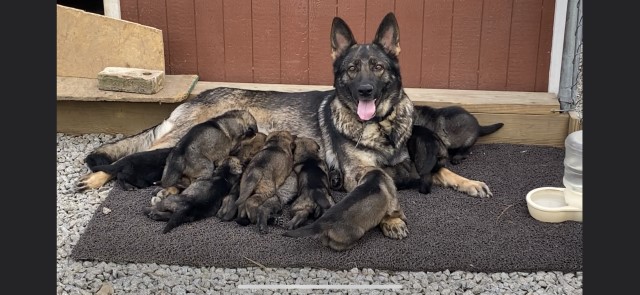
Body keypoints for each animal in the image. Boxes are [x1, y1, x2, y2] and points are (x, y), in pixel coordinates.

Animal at [76, 12, 496, 242]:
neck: (381, 128)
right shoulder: (360, 171)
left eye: (377, 68)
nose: (364, 90)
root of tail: (200, 94)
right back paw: (96, 178)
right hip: (181, 135)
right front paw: (392, 218)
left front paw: (468, 182)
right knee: (131, 154)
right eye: (351, 70)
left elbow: (440, 172)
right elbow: (386, 185)